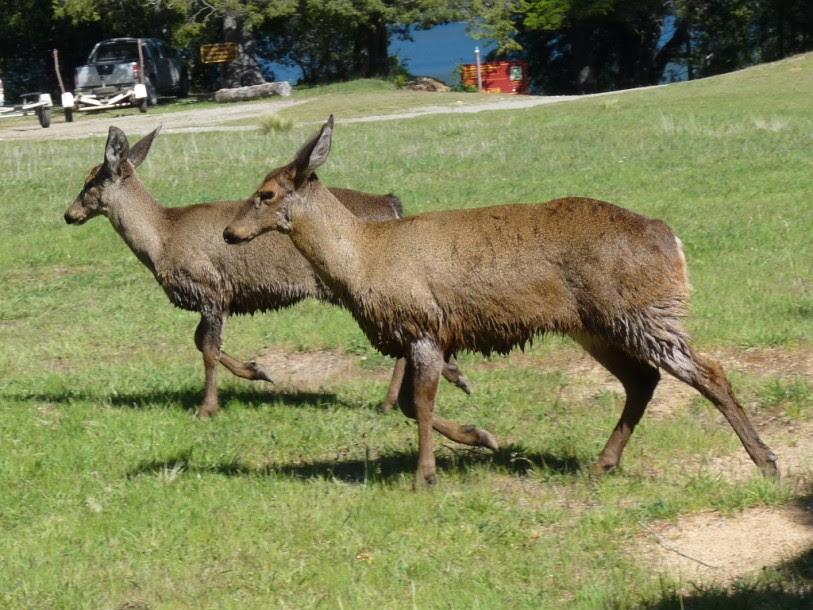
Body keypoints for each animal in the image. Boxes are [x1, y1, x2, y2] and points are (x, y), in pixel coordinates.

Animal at [65, 124, 482, 428]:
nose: (69, 215)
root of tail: (391, 204)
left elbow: (208, 348)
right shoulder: (217, 298)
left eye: (90, 182)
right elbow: (203, 343)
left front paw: (208, 407)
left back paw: (395, 400)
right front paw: (257, 371)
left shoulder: (211, 288)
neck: (162, 238)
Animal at [224, 113, 780, 484]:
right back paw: (602, 464)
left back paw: (766, 462)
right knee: (642, 380)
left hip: (642, 309)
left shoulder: (424, 324)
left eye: (265, 194)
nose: (230, 233)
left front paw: (426, 474)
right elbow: (407, 404)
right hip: (593, 323)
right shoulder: (419, 334)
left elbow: (419, 403)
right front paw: (480, 437)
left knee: (708, 372)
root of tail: (673, 241)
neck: (365, 262)